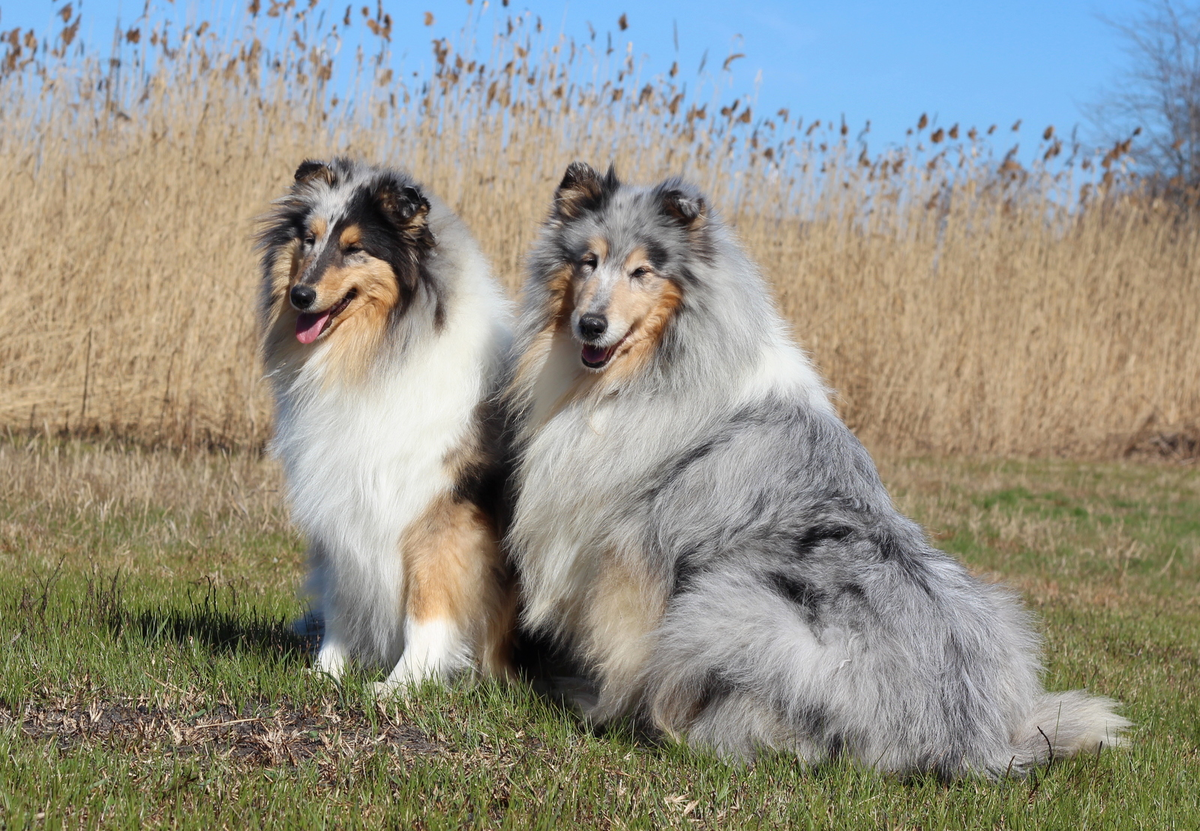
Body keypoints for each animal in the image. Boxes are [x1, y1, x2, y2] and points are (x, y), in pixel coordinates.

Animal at [258, 158, 516, 691]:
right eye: (309, 239)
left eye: (355, 248)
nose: (300, 296)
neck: (370, 357)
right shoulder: (341, 501)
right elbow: (343, 599)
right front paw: (327, 673)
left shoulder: (442, 511)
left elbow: (427, 604)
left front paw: (402, 685)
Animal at [506, 164, 1123, 778]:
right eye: (588, 261)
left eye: (642, 272)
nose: (590, 325)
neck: (646, 370)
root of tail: (973, 739)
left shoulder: (634, 551)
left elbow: (623, 648)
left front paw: (601, 709)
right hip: (998, 612)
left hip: (735, 608)